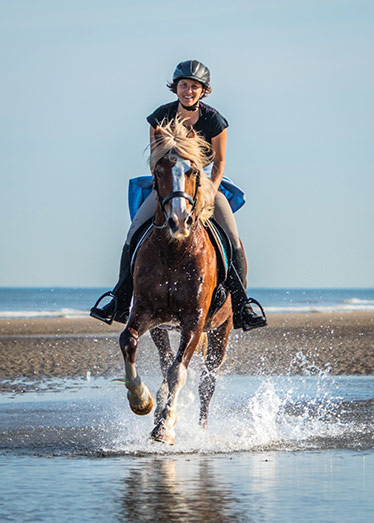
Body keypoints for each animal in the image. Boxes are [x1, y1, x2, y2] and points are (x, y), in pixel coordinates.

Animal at [119, 116, 234, 444]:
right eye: (158, 171)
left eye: (193, 170)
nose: (179, 221)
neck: (175, 250)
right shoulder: (145, 311)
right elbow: (129, 341)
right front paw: (142, 401)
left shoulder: (194, 320)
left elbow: (178, 371)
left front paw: (166, 427)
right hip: (162, 327)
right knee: (165, 360)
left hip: (221, 330)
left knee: (207, 383)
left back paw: (201, 431)